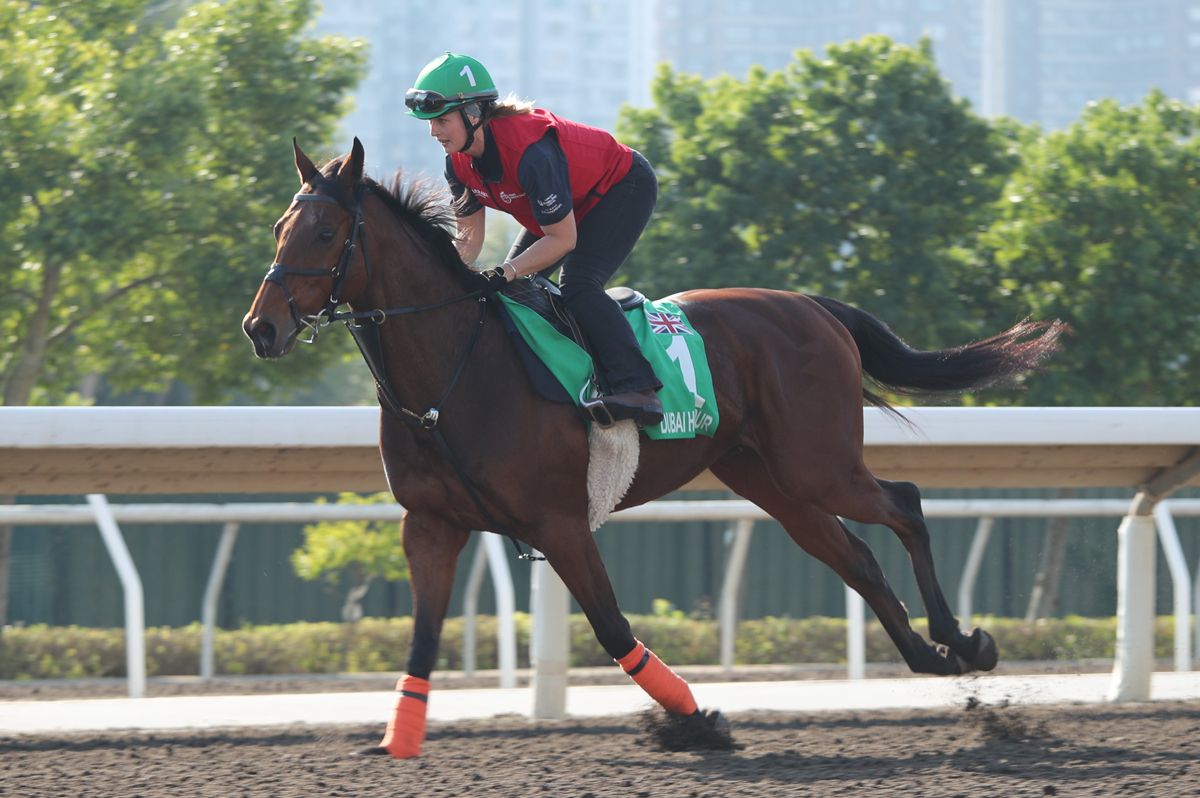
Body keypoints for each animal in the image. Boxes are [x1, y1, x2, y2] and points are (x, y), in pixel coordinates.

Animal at [241, 139, 1060, 758]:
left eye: (323, 234)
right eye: (279, 226)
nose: (261, 328)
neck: (454, 372)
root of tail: (811, 304)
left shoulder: (559, 523)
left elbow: (613, 630)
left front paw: (699, 722)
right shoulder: (432, 525)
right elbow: (420, 638)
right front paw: (396, 742)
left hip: (818, 465)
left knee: (906, 504)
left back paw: (964, 640)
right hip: (771, 480)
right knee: (856, 557)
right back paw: (930, 656)